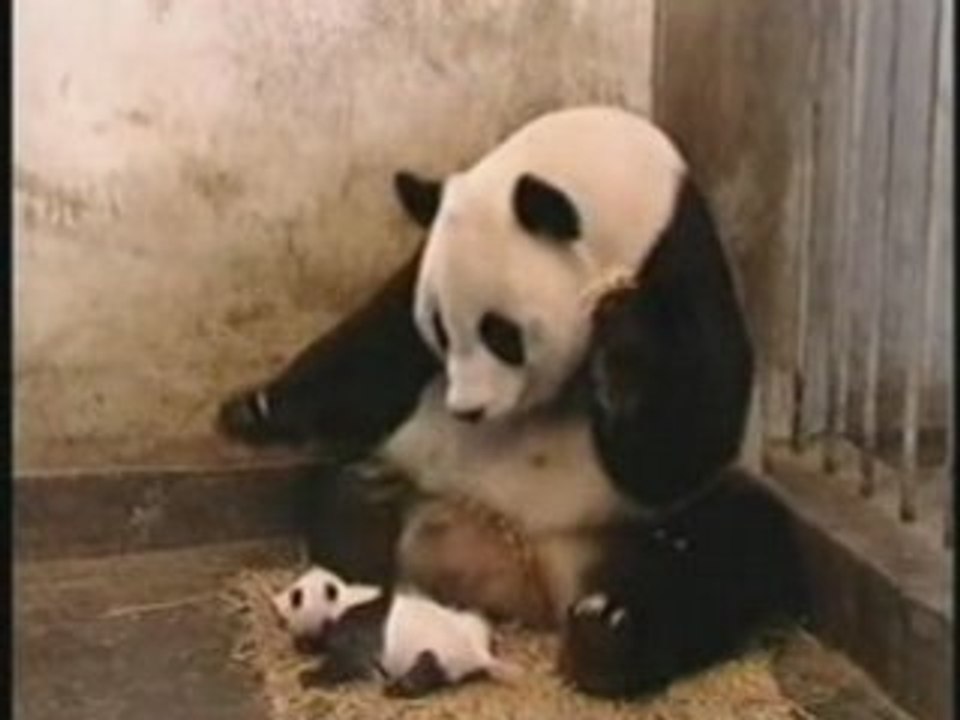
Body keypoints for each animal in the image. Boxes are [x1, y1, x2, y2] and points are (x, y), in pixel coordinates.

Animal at [218, 106, 807, 698]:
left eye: (501, 334)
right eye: (440, 329)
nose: (467, 411)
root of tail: (525, 572)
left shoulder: (682, 267)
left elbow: (687, 437)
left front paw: (621, 346)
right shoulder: (425, 261)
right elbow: (378, 346)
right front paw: (253, 410)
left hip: (629, 527)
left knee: (732, 550)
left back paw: (605, 634)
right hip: (416, 480)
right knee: (345, 493)